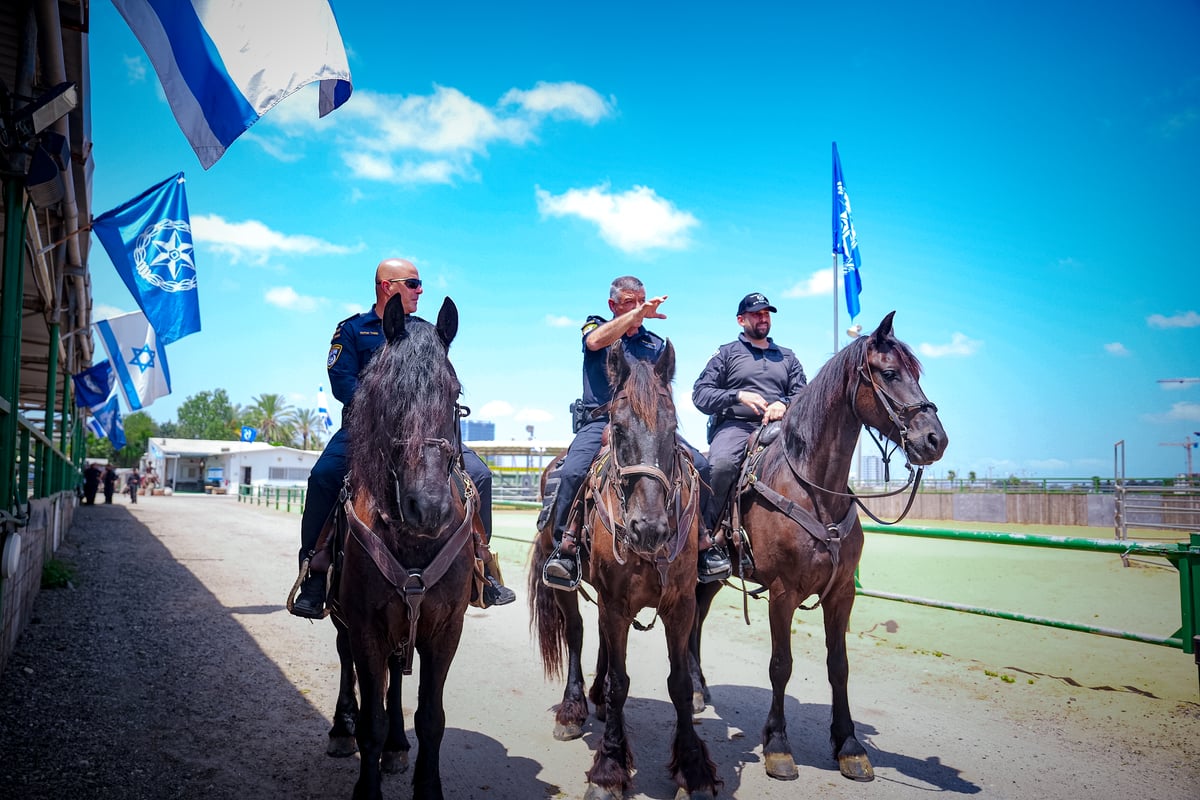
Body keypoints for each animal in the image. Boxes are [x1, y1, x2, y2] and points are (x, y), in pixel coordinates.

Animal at [328, 297, 477, 800]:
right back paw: (341, 729)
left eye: (454, 394)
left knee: (395, 679)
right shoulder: (365, 625)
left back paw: (396, 745)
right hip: (345, 620)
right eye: (391, 395)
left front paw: (426, 786)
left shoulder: (446, 629)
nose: (427, 507)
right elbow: (369, 720)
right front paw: (366, 786)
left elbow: (431, 718)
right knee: (347, 663)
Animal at [528, 343, 715, 800]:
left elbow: (679, 684)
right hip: (566, 586)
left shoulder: (680, 606)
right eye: (616, 425)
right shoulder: (616, 603)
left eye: (672, 425)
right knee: (578, 633)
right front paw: (610, 769)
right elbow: (619, 682)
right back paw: (573, 708)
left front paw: (693, 768)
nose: (648, 529)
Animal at [696, 311, 945, 782]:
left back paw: (698, 688)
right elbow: (781, 665)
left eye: (918, 374)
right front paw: (777, 745)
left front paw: (849, 746)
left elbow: (839, 666)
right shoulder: (782, 593)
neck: (814, 489)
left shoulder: (842, 593)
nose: (935, 440)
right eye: (890, 373)